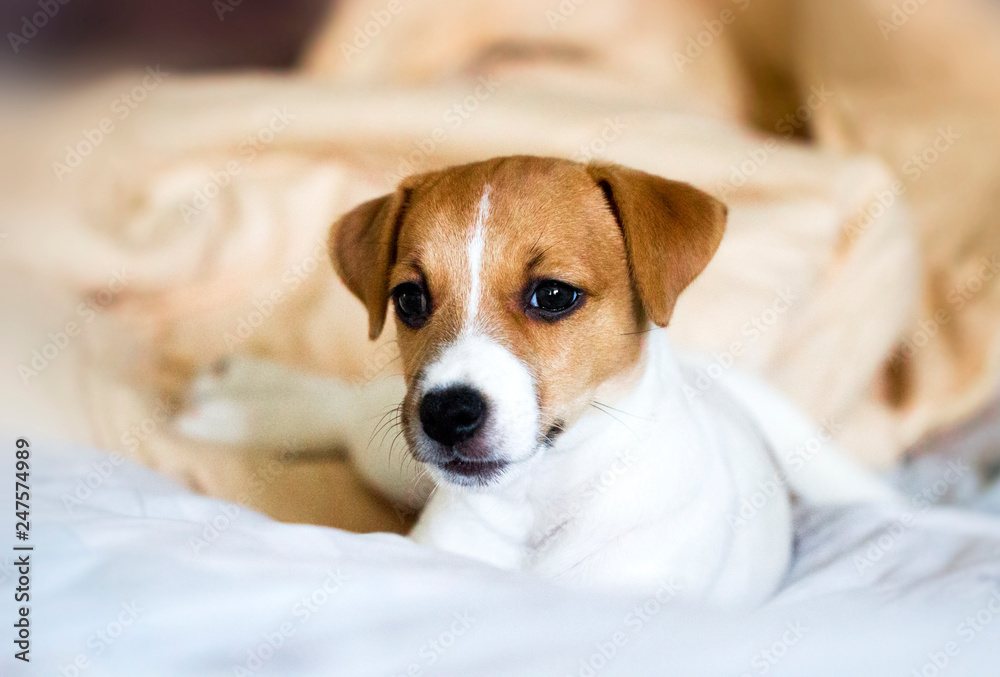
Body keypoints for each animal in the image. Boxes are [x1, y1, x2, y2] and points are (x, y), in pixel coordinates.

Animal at [176, 154, 896, 608]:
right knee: (343, 415)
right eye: (409, 299)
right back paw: (238, 403)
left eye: (552, 295)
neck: (537, 505)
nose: (446, 412)